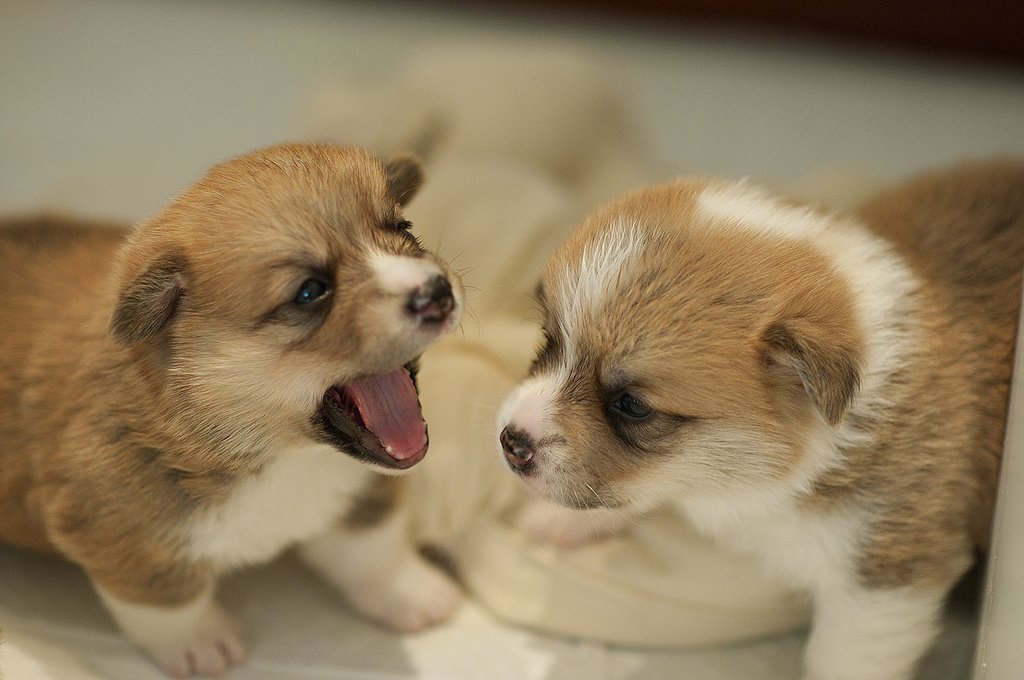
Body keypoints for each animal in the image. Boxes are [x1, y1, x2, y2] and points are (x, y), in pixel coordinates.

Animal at [0, 142, 464, 675]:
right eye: (310, 291)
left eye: (403, 230)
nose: (437, 292)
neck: (282, 455)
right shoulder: (119, 537)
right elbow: (170, 603)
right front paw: (204, 645)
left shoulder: (357, 494)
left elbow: (372, 546)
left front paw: (414, 594)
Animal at [495, 160, 1024, 680]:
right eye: (550, 341)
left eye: (632, 405)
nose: (511, 442)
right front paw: (556, 517)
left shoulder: (883, 580)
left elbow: (839, 658)